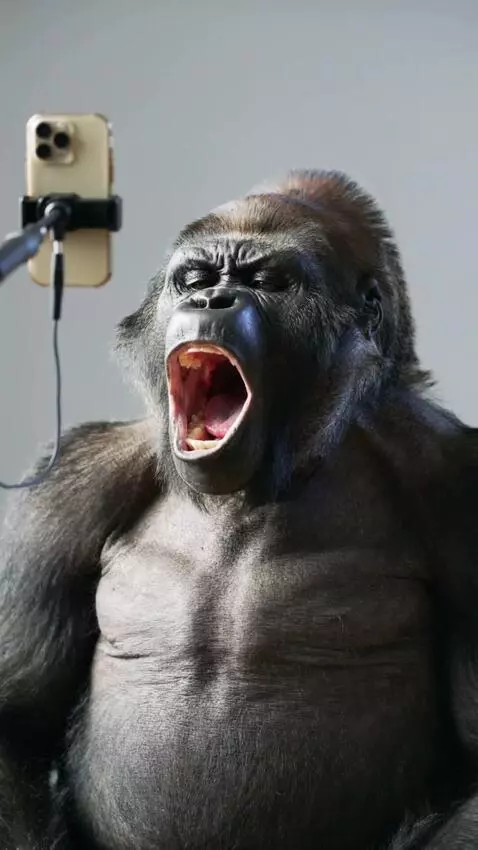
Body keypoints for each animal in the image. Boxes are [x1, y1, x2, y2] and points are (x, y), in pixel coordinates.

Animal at [0, 169, 477, 850]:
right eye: (196, 279)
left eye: (268, 282)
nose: (210, 303)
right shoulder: (66, 491)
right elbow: (15, 719)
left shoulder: (458, 483)